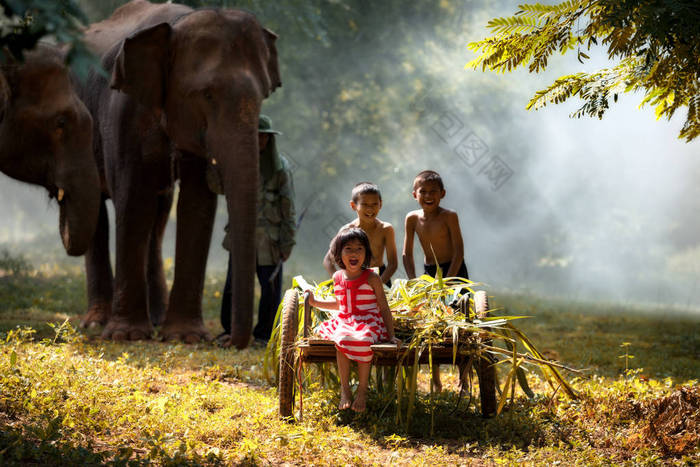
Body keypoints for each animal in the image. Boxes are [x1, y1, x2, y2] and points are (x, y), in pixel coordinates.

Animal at [78, 0, 280, 348]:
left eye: (262, 97)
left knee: (159, 212)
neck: (177, 25)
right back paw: (96, 323)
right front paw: (126, 336)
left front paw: (186, 337)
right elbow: (132, 196)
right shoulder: (124, 110)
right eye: (207, 95)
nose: (227, 341)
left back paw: (156, 319)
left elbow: (197, 203)